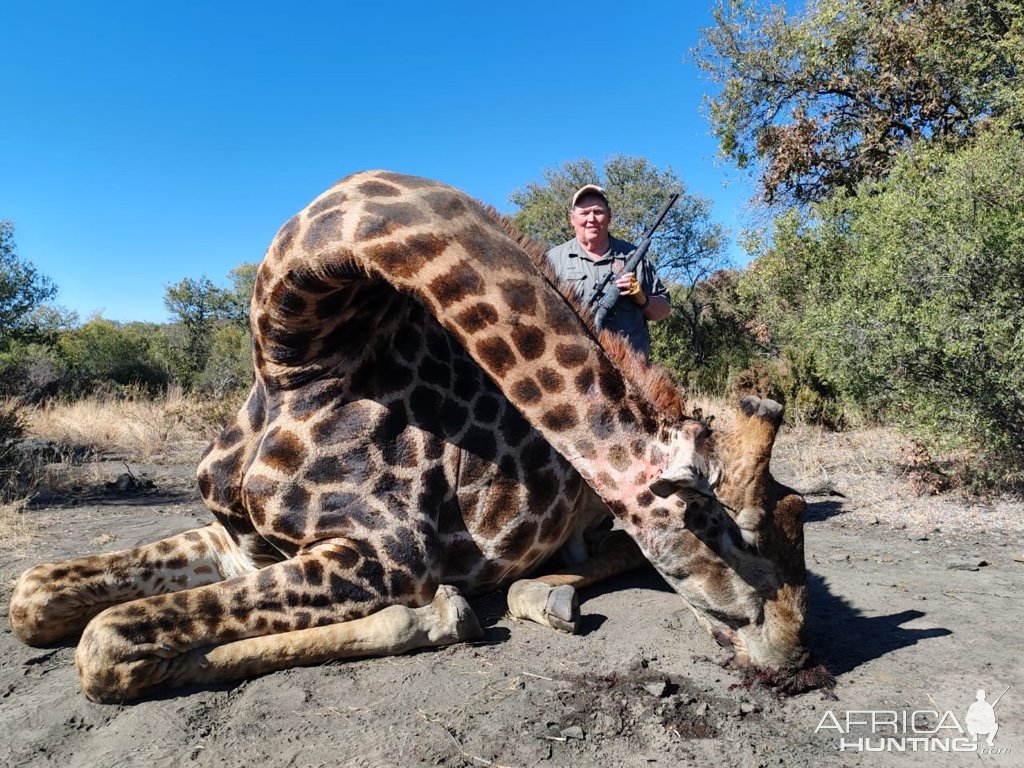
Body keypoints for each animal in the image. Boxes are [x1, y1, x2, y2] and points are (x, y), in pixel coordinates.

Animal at [9, 173, 806, 704]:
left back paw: (537, 597)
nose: (798, 657)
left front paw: (440, 616)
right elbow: (37, 600)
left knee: (606, 554)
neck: (299, 358)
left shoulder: (385, 556)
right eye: (726, 528)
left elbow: (104, 639)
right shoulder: (240, 541)